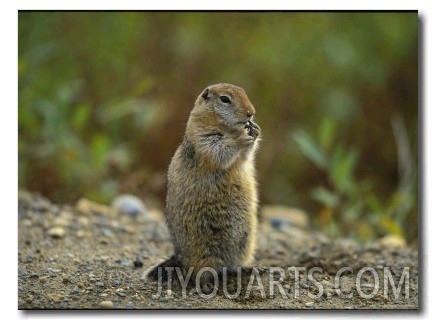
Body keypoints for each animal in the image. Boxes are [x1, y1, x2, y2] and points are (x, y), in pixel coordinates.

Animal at [146, 84, 262, 282]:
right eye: (225, 99)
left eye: (245, 93)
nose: (251, 113)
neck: (226, 127)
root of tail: (179, 255)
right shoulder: (203, 137)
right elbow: (218, 151)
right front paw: (241, 138)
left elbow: (246, 156)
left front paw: (255, 130)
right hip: (203, 251)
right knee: (197, 272)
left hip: (245, 243)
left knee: (233, 266)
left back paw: (248, 268)